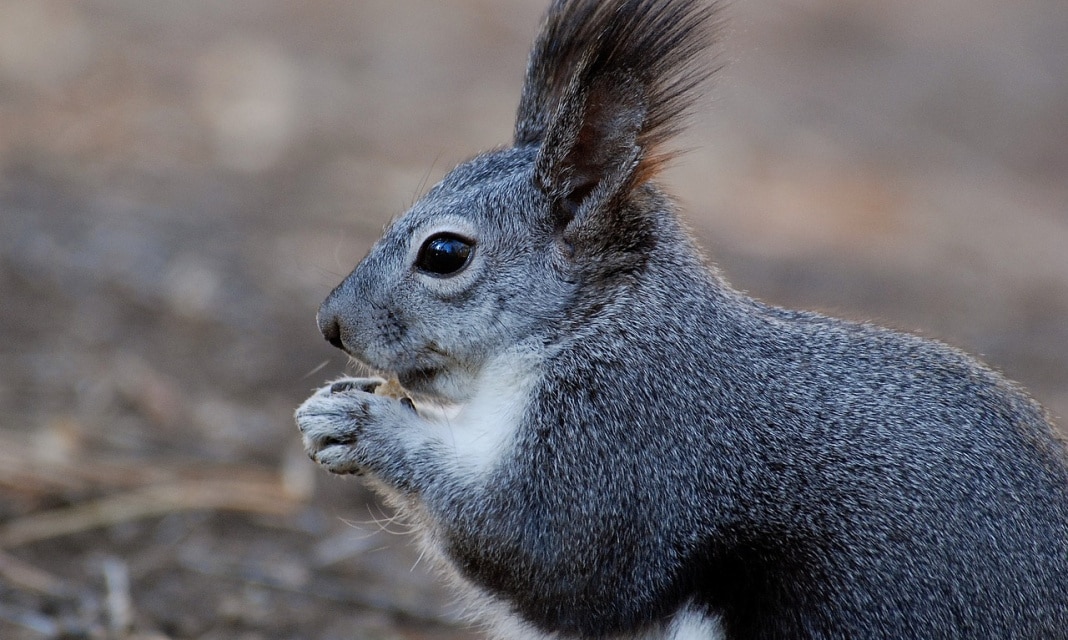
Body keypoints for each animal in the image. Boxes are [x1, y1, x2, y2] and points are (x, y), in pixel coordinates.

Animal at [292, 0, 1068, 636]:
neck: (596, 326)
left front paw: (364, 425)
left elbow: (545, 553)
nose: (331, 324)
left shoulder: (630, 442)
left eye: (445, 253)